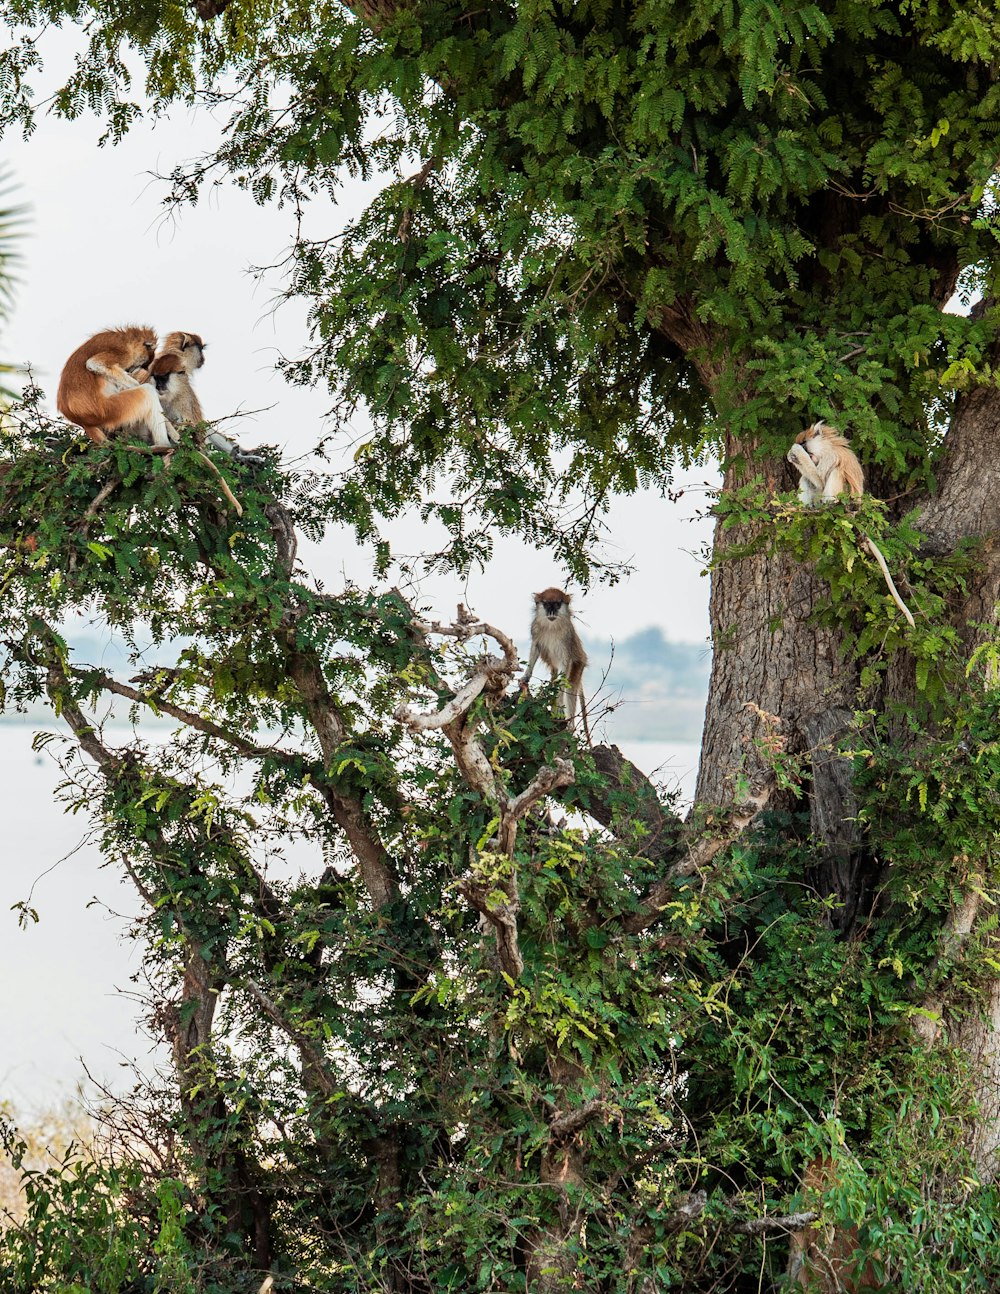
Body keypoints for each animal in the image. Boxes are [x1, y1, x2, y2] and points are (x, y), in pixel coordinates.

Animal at [520, 587, 589, 740]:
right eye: (547, 604)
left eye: (557, 604)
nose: (551, 612)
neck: (552, 626)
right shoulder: (535, 629)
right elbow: (535, 647)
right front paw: (526, 676)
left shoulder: (566, 637)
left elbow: (565, 664)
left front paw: (560, 705)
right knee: (554, 677)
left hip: (579, 665)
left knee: (570, 687)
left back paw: (569, 727)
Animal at [786, 421, 915, 628]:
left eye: (805, 445)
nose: (804, 452)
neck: (826, 446)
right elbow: (813, 480)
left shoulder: (830, 456)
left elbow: (820, 478)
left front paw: (794, 452)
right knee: (807, 480)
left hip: (845, 496)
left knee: (836, 472)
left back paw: (828, 505)